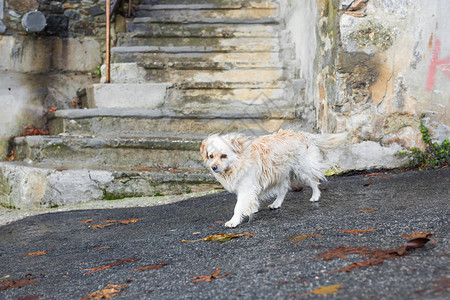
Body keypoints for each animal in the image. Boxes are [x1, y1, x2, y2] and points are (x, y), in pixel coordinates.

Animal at [201, 129, 348, 227]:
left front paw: (234, 221)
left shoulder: (246, 188)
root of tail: (303, 134)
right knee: (283, 190)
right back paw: (276, 203)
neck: (237, 162)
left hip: (303, 169)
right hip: (281, 174)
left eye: (224, 156)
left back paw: (315, 196)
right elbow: (251, 200)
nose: (213, 167)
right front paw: (252, 209)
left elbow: (238, 207)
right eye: (211, 156)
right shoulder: (250, 187)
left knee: (314, 181)